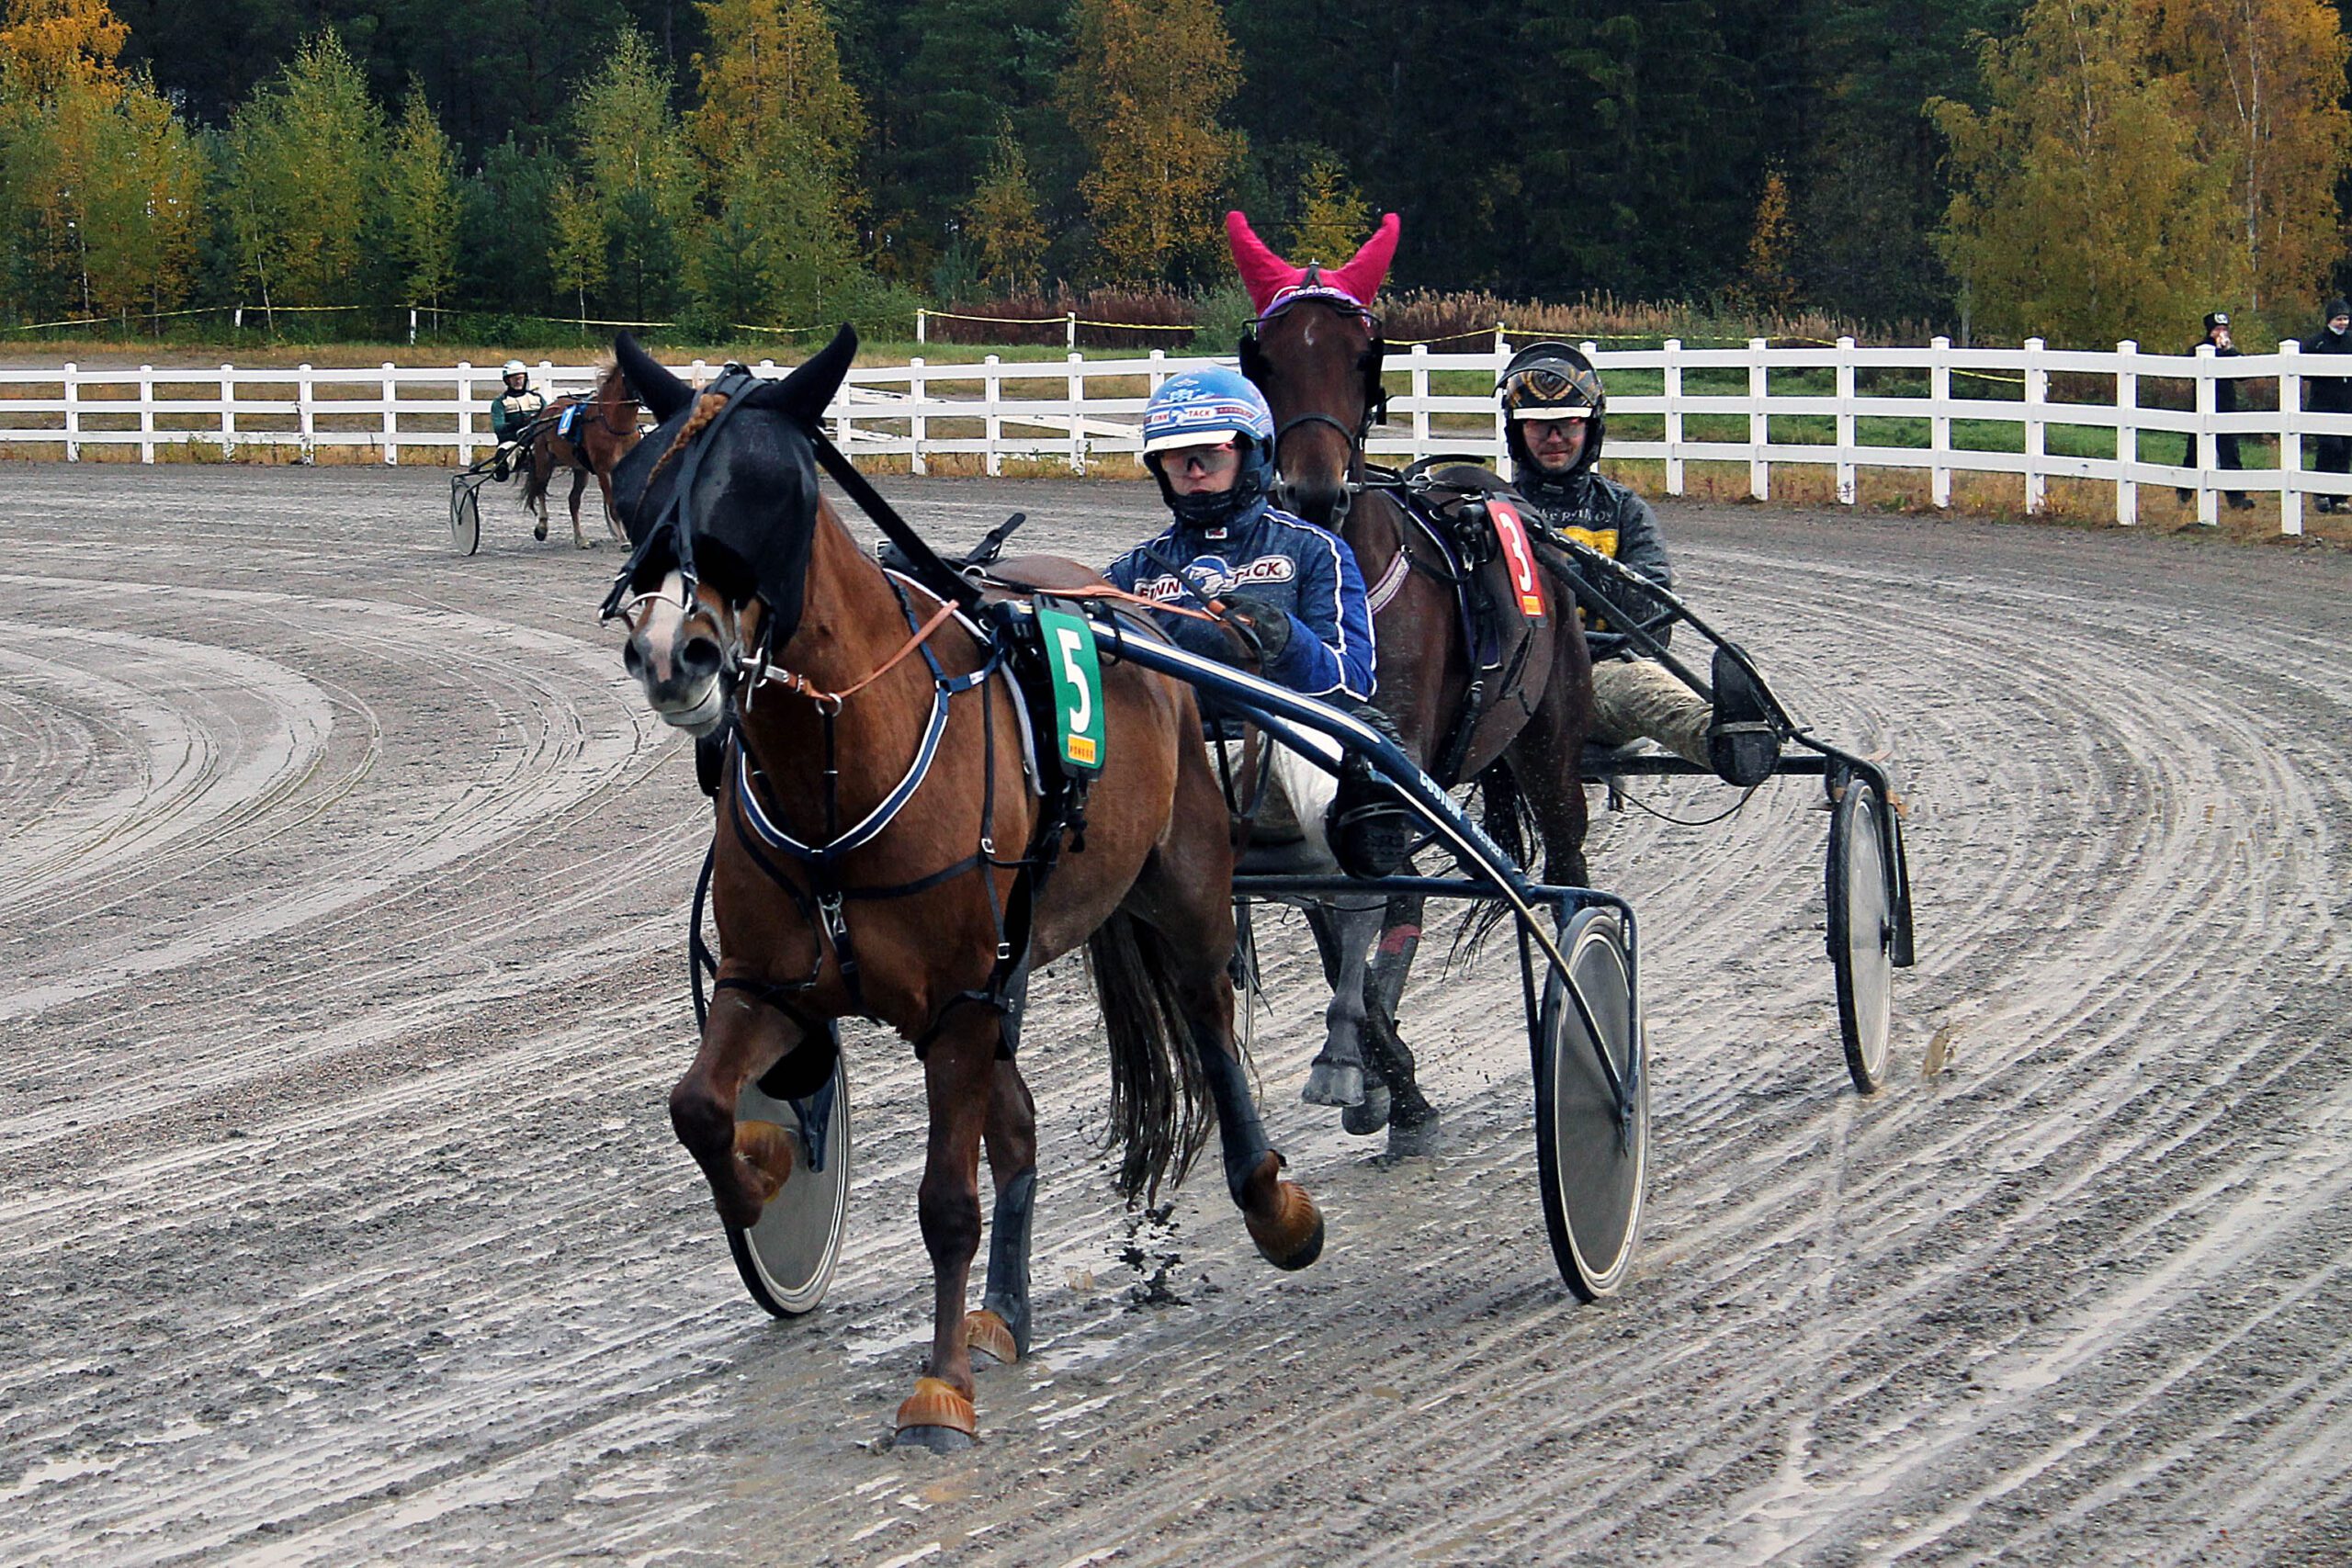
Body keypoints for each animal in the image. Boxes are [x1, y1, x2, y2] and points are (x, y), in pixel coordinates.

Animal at [520, 362, 642, 548]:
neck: (612, 424)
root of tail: (547, 411)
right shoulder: (603, 469)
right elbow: (613, 503)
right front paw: (623, 540)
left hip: (580, 468)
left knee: (573, 500)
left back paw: (580, 538)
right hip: (544, 460)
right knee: (540, 488)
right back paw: (542, 526)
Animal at [600, 325, 1324, 1451]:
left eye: (766, 491)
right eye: (637, 486)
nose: (672, 652)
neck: (837, 775)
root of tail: (1130, 611)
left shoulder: (957, 1006)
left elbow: (946, 1203)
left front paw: (938, 1389)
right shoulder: (771, 984)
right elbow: (700, 1109)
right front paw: (767, 1166)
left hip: (1181, 884)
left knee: (1207, 1015)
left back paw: (1271, 1204)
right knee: (1018, 1126)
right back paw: (1006, 1312)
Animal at [1226, 210, 1595, 1154]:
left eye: (1366, 352)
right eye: (1262, 357)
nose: (1311, 490)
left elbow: (1384, 907)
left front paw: (1375, 1073)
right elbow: (1337, 927)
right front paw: (1382, 1077)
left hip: (1550, 736)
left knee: (1566, 859)